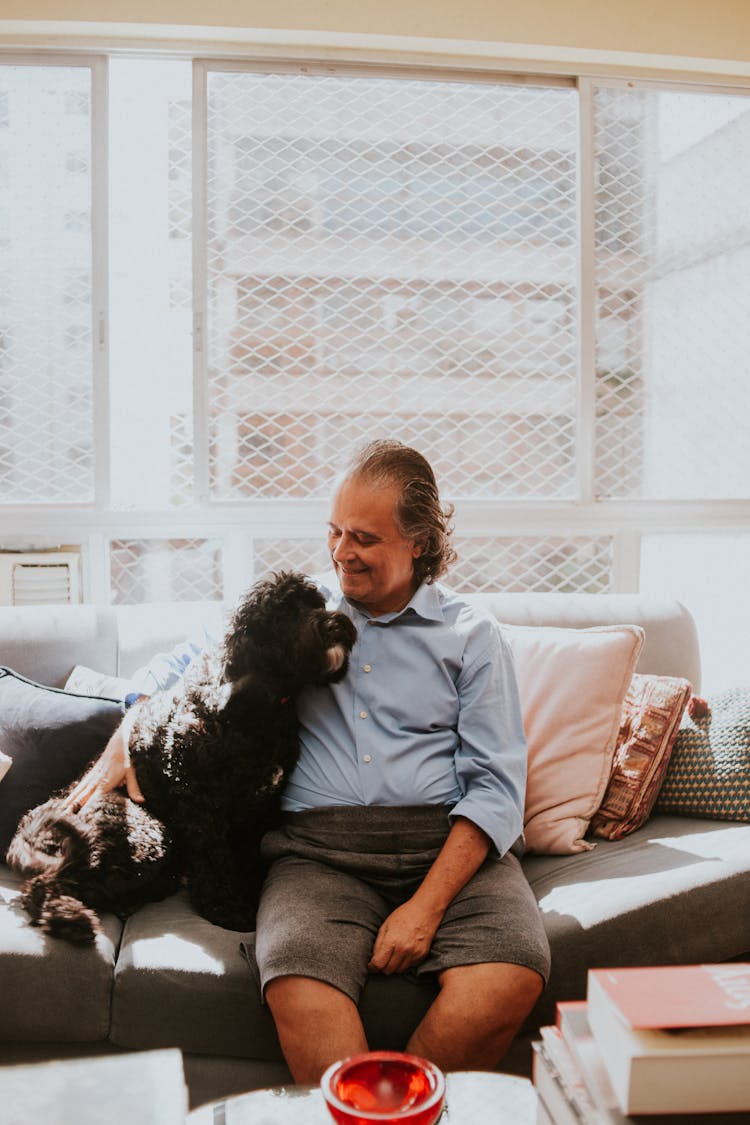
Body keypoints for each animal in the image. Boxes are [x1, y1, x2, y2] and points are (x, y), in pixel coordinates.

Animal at [5, 571, 357, 940]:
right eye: (282, 616)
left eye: (315, 603)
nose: (333, 624)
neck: (257, 710)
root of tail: (25, 833)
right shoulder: (201, 804)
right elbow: (214, 859)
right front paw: (226, 908)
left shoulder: (260, 807)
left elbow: (248, 853)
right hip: (145, 830)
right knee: (46, 884)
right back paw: (74, 915)